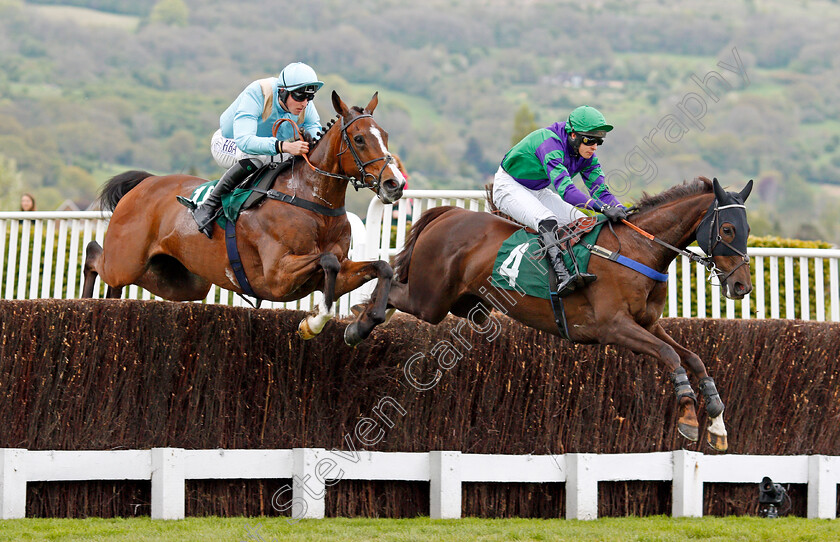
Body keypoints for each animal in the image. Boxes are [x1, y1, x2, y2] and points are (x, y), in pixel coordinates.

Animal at [83, 91, 406, 342]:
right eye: (359, 138)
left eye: (386, 136)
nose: (394, 184)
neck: (310, 200)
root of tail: (144, 184)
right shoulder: (277, 275)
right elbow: (327, 263)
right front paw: (313, 323)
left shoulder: (338, 272)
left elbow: (380, 267)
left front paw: (363, 324)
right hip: (126, 262)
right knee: (94, 255)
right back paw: (86, 304)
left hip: (182, 280)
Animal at [380, 177, 756, 450]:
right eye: (727, 230)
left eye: (748, 230)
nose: (742, 286)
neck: (638, 251)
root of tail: (448, 214)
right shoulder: (614, 327)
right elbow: (669, 355)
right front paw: (689, 419)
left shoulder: (647, 323)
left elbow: (693, 357)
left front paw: (717, 422)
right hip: (430, 300)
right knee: (389, 285)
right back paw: (367, 316)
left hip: (461, 304)